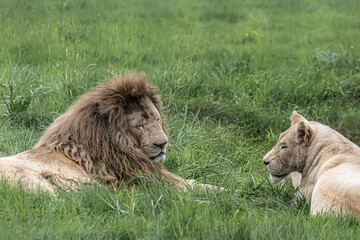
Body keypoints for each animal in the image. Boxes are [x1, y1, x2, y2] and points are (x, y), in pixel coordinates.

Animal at [0, 72, 214, 192]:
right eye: (140, 126)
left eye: (158, 120)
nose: (162, 144)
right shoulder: (149, 179)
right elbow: (194, 188)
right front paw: (220, 193)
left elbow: (193, 182)